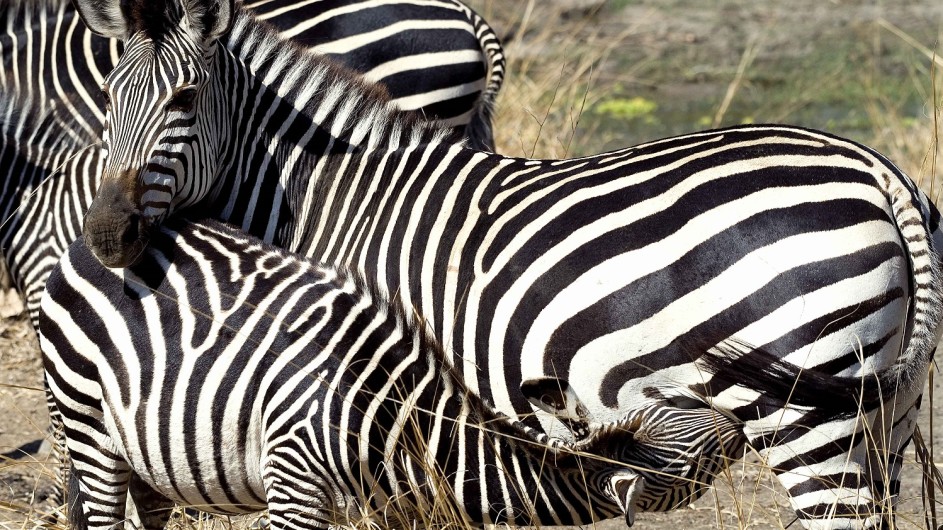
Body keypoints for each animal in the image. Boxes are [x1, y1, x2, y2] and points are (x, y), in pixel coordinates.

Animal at [72, 0, 943, 524]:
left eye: (186, 100)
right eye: (107, 97)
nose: (108, 239)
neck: (336, 201)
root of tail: (876, 168)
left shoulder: (379, 403)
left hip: (805, 411)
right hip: (884, 408)